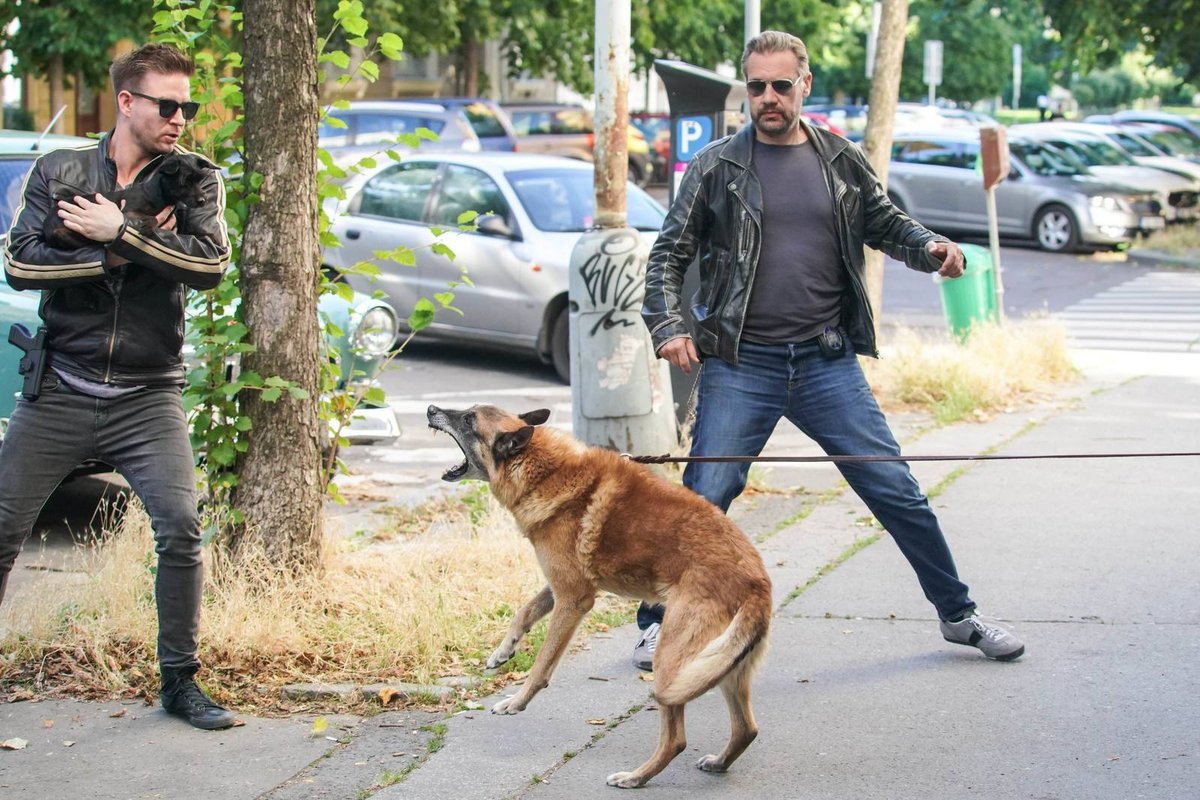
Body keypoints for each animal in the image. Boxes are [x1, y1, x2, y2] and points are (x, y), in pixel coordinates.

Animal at [44, 151, 219, 248]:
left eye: (200, 180)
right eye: (185, 182)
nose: (203, 200)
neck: (158, 194)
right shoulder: (129, 211)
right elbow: (152, 217)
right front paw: (148, 225)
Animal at [427, 407, 772, 786]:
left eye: (468, 420)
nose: (431, 410)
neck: (543, 470)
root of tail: (758, 584)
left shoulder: (573, 599)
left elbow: (542, 663)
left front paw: (517, 701)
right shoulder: (561, 588)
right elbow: (524, 611)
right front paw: (502, 652)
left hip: (673, 659)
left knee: (677, 740)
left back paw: (635, 777)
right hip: (722, 667)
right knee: (747, 729)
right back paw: (719, 762)